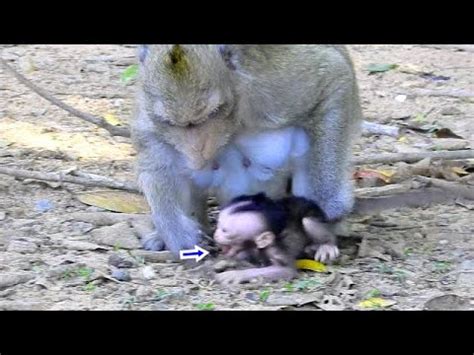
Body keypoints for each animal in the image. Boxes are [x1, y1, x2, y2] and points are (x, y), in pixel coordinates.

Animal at [132, 45, 362, 256]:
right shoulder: (151, 110)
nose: (197, 149)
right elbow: (152, 142)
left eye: (212, 114)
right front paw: (175, 230)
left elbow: (334, 76)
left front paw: (327, 209)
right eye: (172, 123)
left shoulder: (269, 86)